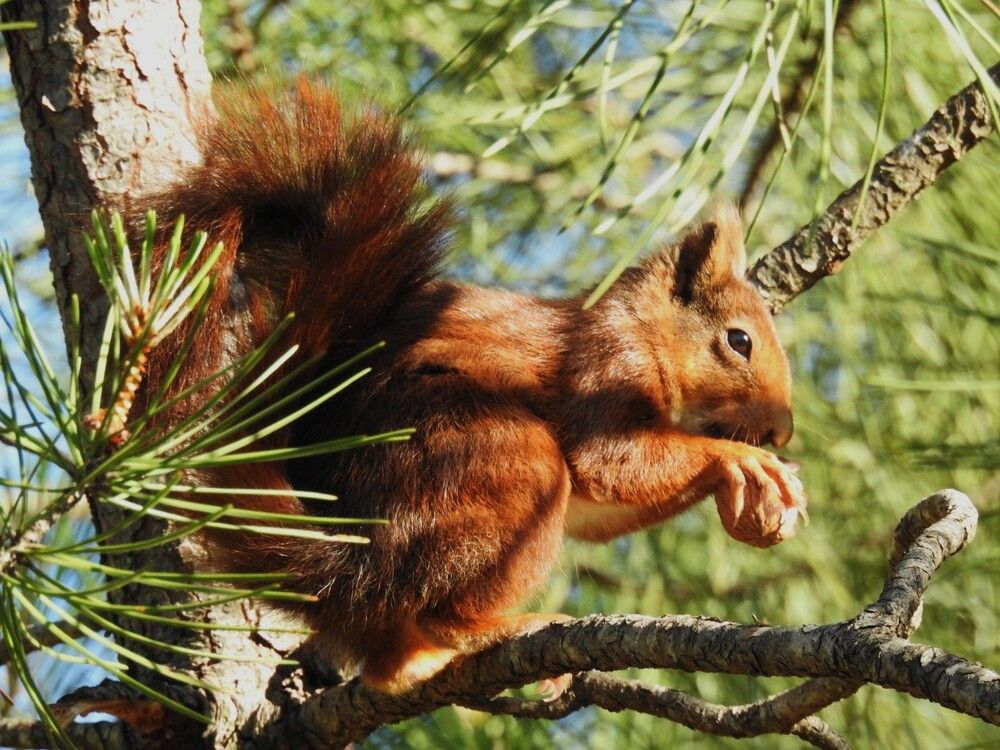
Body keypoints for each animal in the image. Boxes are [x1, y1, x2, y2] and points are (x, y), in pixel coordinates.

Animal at [130, 80, 806, 694]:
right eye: (739, 340)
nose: (781, 431)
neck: (647, 330)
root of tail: (363, 558)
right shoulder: (604, 363)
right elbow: (611, 459)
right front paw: (745, 462)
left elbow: (603, 505)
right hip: (496, 457)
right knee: (444, 608)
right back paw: (505, 627)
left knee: (386, 659)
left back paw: (412, 666)